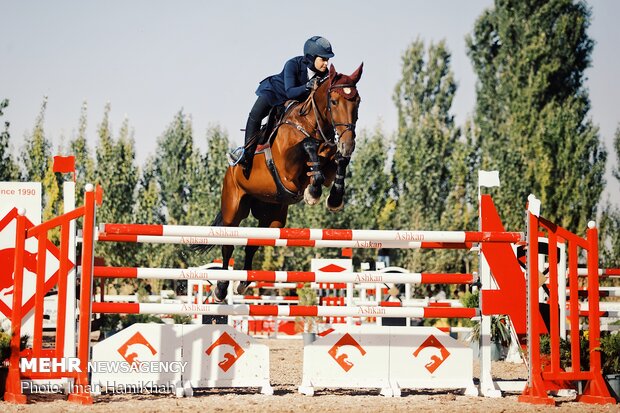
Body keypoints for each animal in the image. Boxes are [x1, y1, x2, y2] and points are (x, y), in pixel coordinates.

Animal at [203, 62, 364, 300]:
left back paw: (244, 282)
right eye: (334, 101)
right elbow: (307, 146)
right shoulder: (288, 169)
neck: (310, 123)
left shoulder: (329, 161)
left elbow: (338, 162)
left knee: (253, 244)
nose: (348, 143)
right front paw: (313, 192)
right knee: (228, 245)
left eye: (357, 101)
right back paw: (222, 288)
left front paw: (333, 198)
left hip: (273, 216)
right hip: (233, 208)